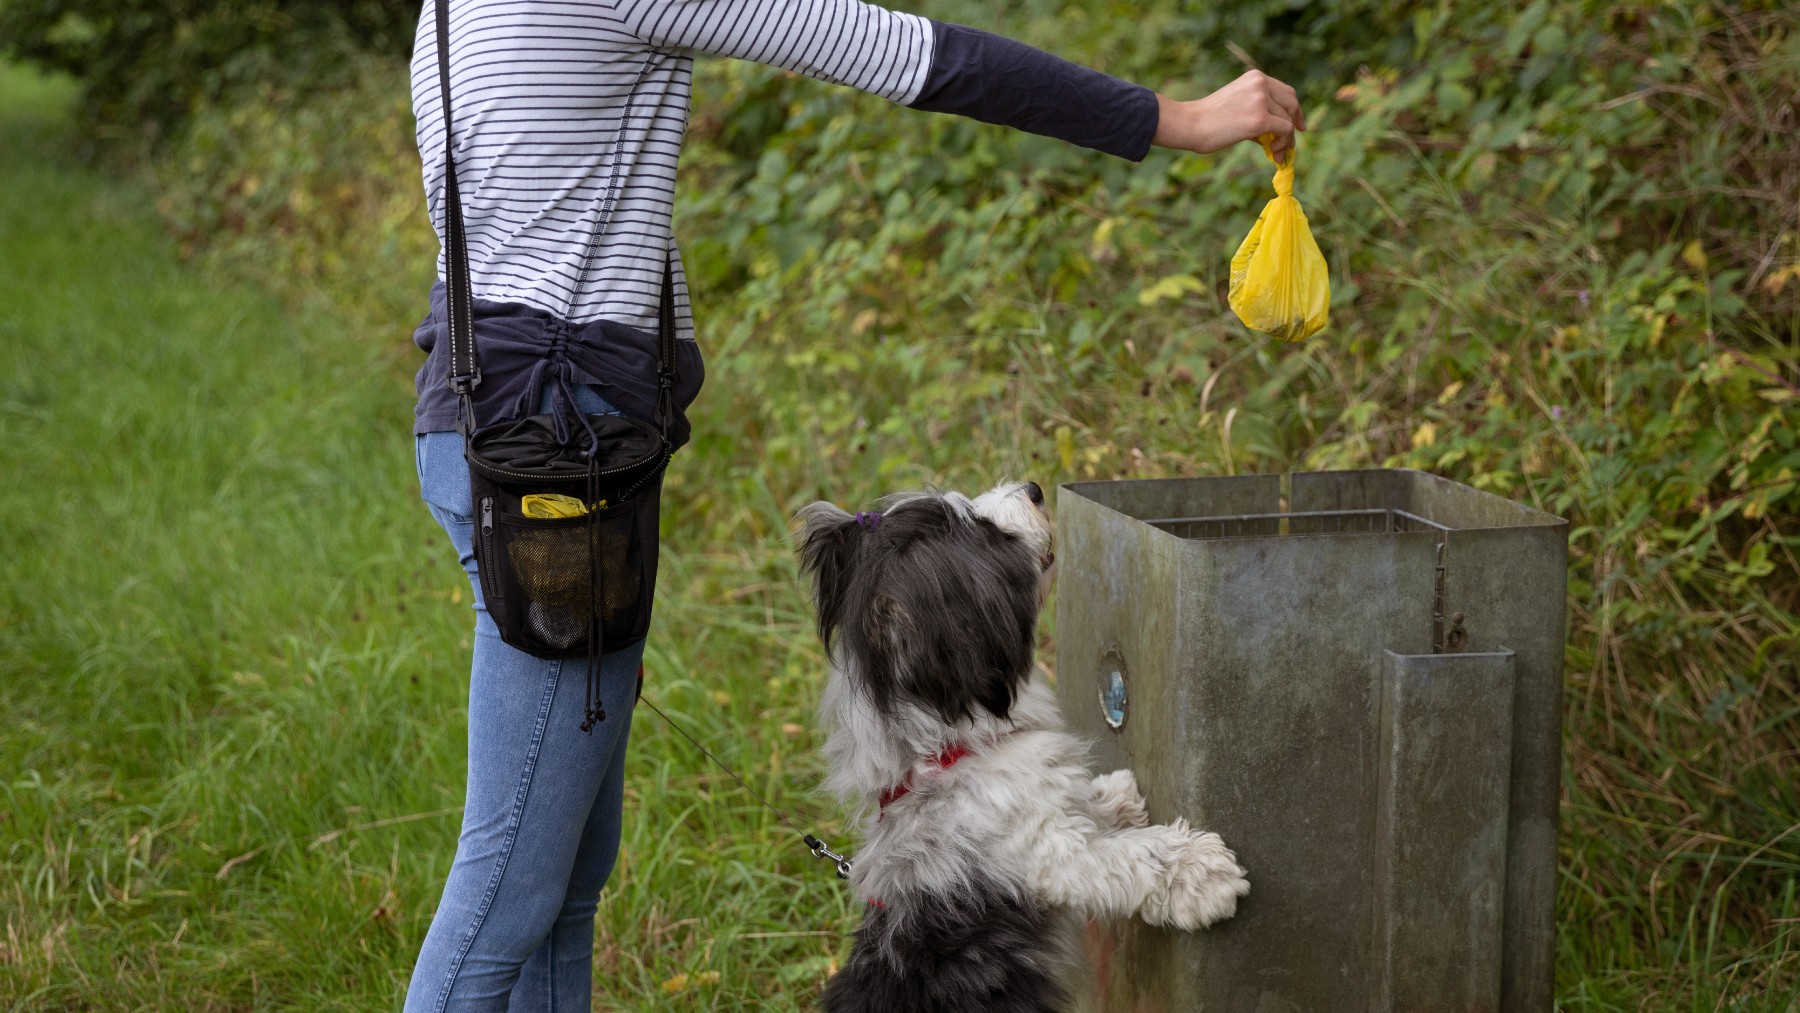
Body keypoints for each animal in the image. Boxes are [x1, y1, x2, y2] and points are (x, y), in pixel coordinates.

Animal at [802, 482, 1252, 1013]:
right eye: (983, 530)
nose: (1034, 489)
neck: (948, 753)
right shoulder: (1053, 855)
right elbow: (1132, 857)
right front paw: (1201, 870)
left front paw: (1112, 797)